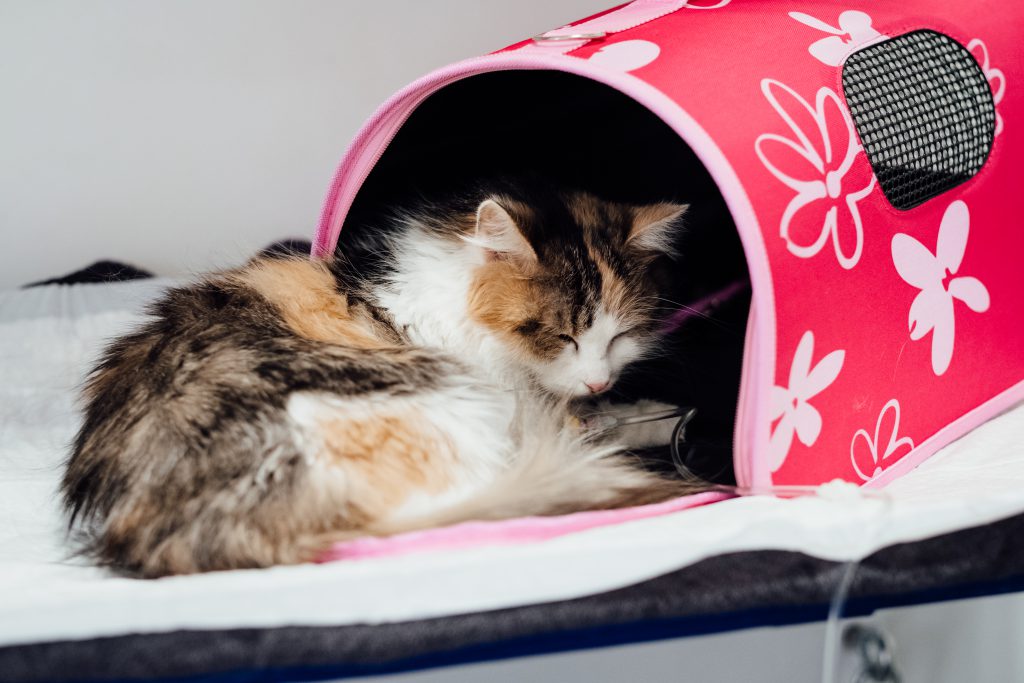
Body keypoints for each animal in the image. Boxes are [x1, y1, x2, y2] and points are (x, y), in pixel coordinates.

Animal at [61, 181, 704, 577]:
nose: (597, 382)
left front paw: (658, 413)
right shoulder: (520, 402)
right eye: (557, 335)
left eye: (620, 337)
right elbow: (593, 425)